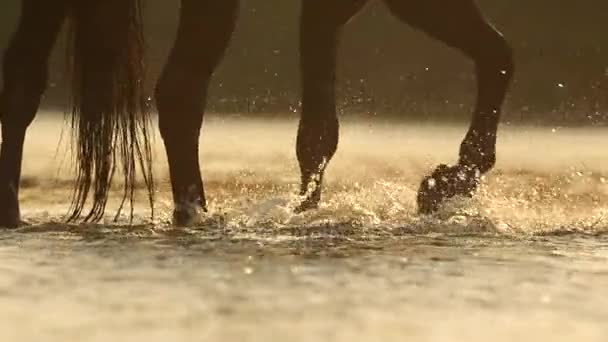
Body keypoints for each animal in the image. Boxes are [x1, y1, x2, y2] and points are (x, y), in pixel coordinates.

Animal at [0, 2, 512, 230]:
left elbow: (317, 134)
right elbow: (501, 57)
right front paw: (450, 181)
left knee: (23, 79)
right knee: (181, 90)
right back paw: (194, 215)